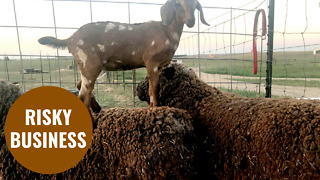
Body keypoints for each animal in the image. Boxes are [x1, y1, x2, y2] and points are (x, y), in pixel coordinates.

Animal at [37, 0, 210, 113]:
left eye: (196, 6)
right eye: (178, 4)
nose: (191, 21)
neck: (166, 31)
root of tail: (70, 39)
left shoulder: (160, 65)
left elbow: (155, 88)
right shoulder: (151, 61)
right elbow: (154, 88)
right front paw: (155, 108)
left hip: (86, 65)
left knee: (80, 85)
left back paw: (98, 108)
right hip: (90, 63)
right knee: (83, 94)